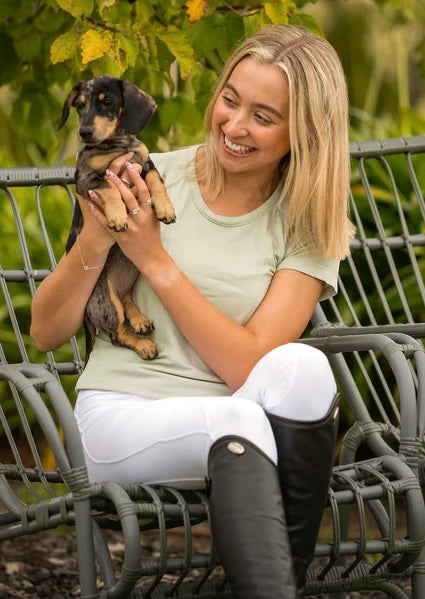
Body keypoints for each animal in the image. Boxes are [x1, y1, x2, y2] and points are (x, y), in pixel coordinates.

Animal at [58, 77, 175, 364]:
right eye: (79, 105)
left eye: (107, 101)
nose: (84, 133)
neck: (116, 145)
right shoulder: (86, 180)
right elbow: (109, 186)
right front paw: (118, 216)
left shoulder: (144, 162)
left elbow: (155, 179)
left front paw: (165, 208)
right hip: (107, 300)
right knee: (116, 334)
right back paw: (143, 345)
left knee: (126, 301)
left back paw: (140, 320)